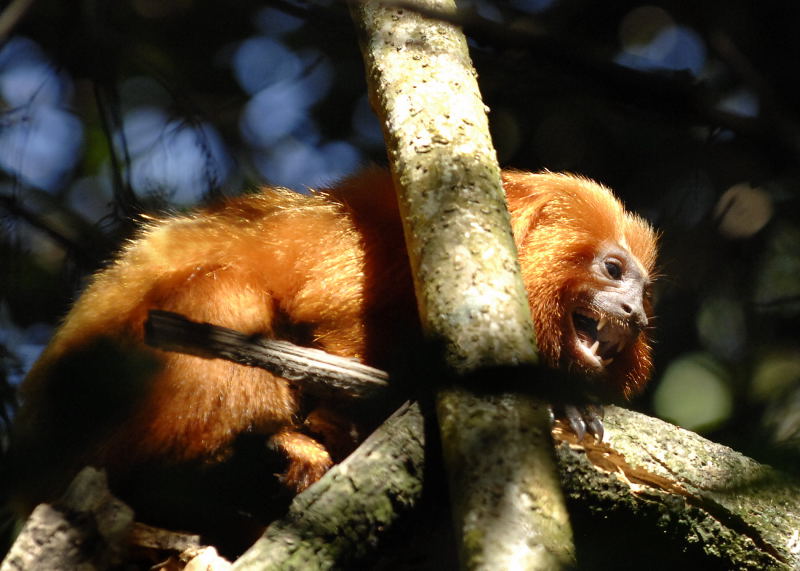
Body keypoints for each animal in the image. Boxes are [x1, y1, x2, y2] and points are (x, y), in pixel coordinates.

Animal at [4, 168, 656, 552]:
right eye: (613, 269)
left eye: (642, 290)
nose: (635, 314)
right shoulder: (369, 263)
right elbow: (335, 334)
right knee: (222, 295)